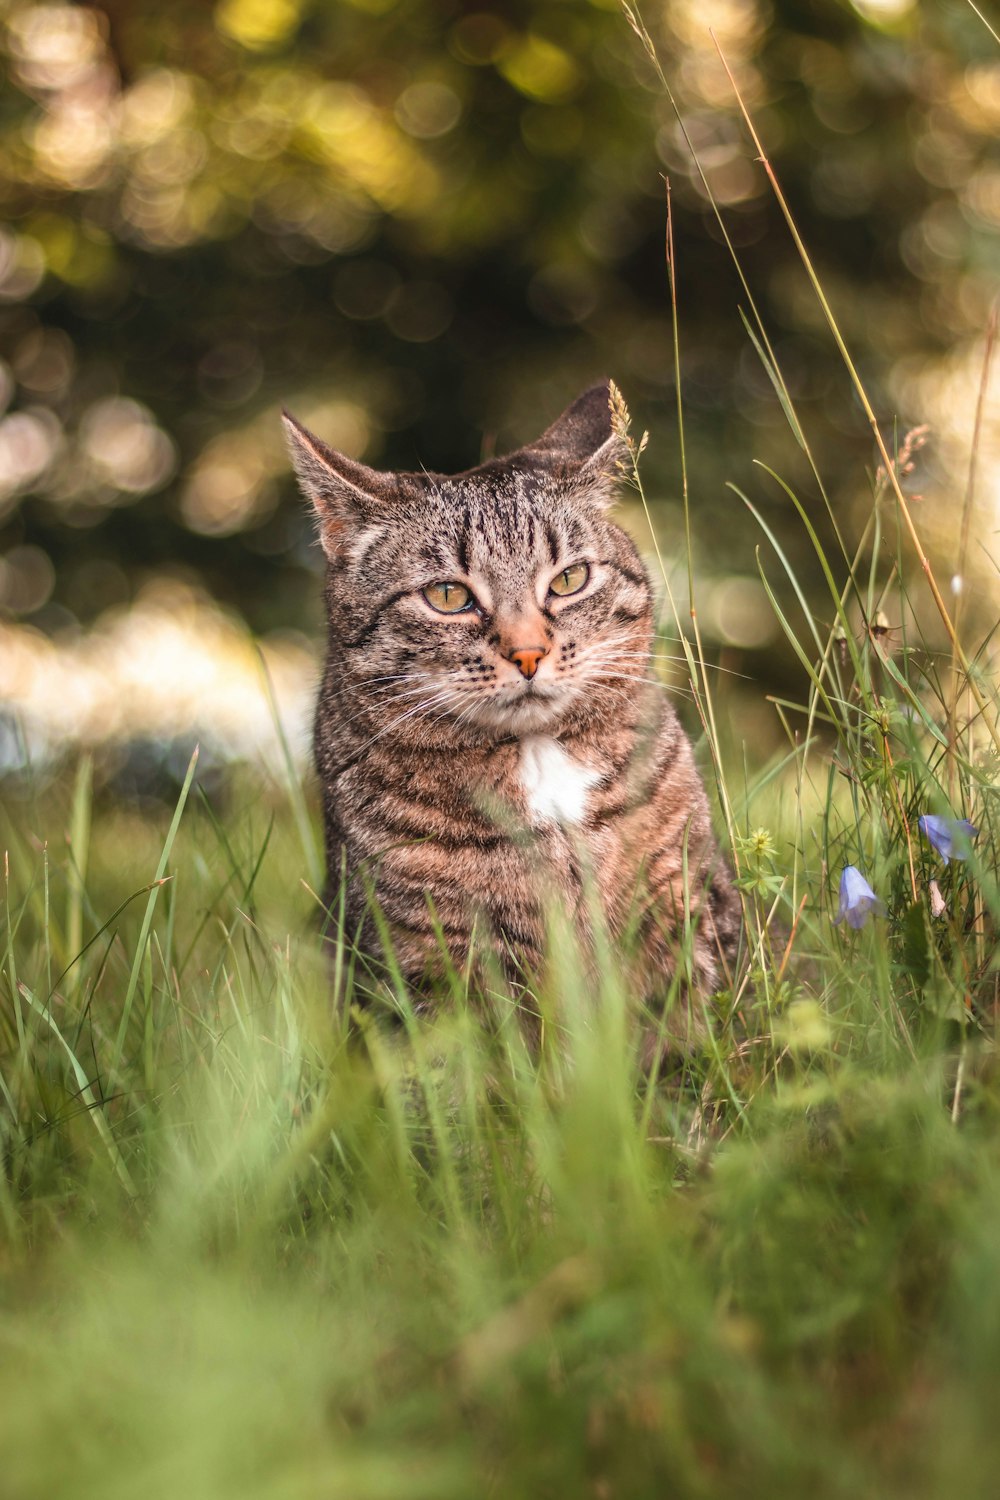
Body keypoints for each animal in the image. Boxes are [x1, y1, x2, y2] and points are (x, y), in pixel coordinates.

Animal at [284, 381, 740, 1026]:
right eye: (448, 595)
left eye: (569, 580)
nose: (528, 654)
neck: (539, 760)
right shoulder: (420, 957)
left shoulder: (686, 899)